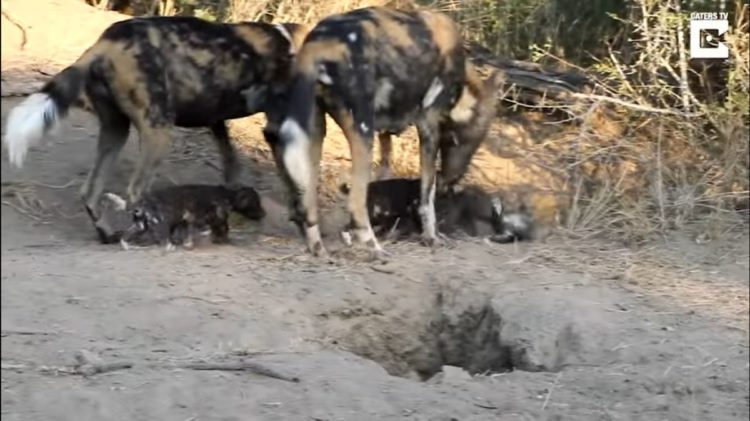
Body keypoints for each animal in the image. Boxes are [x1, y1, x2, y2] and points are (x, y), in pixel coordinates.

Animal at [103, 184, 268, 249]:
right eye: (256, 202)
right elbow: (223, 228)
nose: (264, 214)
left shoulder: (185, 220)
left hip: (141, 225)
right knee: (162, 237)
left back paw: (126, 246)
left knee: (126, 235)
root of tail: (142, 201)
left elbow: (186, 231)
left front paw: (186, 243)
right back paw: (169, 247)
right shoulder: (216, 217)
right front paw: (222, 240)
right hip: (161, 222)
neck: (228, 195)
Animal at [264, 5, 500, 256]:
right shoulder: (428, 124)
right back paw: (372, 246)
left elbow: (384, 176)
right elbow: (427, 195)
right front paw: (431, 237)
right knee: (355, 203)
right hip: (362, 131)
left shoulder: (385, 132)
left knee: (308, 199)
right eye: (469, 142)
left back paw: (318, 249)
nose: (452, 182)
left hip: (315, 130)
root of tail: (320, 42)